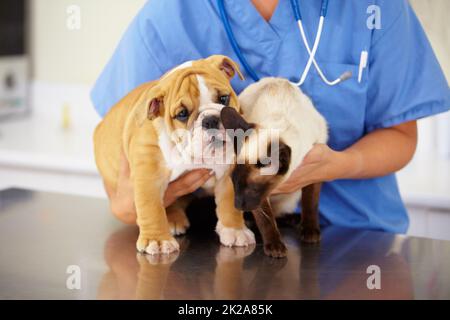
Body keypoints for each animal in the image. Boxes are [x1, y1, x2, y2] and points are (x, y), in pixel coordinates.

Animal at [93, 55, 255, 255]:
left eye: (224, 98)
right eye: (182, 114)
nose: (210, 120)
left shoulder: (227, 172)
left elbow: (230, 202)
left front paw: (235, 230)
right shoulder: (149, 175)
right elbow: (151, 207)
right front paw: (157, 240)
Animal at [221, 77, 326, 258]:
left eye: (252, 188)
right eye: (234, 184)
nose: (238, 205)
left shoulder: (315, 165)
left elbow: (310, 202)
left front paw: (310, 231)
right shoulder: (260, 199)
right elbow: (266, 220)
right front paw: (275, 246)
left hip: (289, 198)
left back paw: (294, 220)